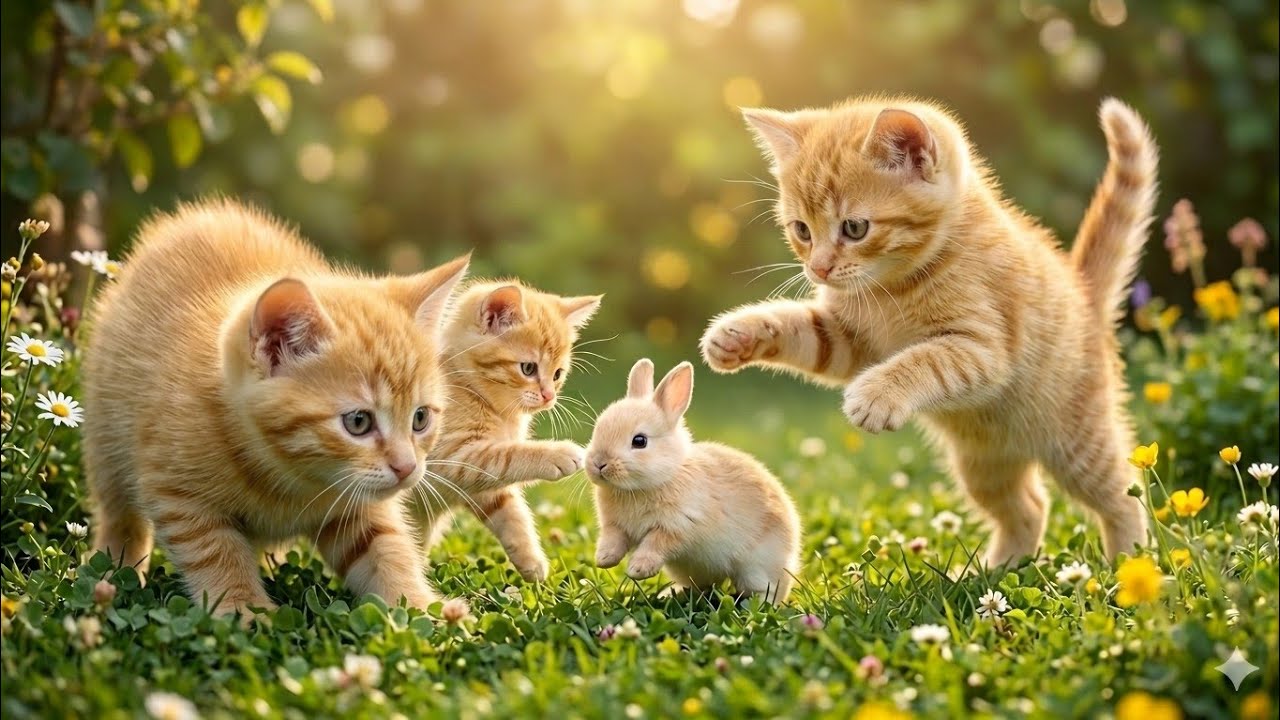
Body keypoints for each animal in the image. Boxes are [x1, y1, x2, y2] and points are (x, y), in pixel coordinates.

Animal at [585, 358, 802, 604]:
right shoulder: (615, 526)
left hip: (756, 569)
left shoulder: (676, 526)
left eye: (639, 441)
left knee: (770, 590)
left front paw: (637, 569)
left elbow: (654, 544)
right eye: (597, 430)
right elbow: (613, 539)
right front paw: (604, 559)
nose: (599, 463)